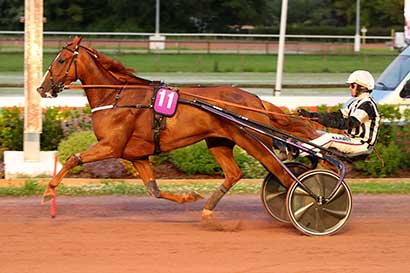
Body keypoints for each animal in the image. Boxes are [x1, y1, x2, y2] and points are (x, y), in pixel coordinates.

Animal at [37, 36, 318, 220]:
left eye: (61, 60)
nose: (42, 88)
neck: (115, 97)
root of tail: (257, 100)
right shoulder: (137, 154)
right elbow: (154, 190)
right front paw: (189, 197)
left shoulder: (111, 146)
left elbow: (73, 159)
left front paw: (48, 192)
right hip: (219, 141)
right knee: (235, 173)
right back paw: (208, 208)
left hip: (253, 141)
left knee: (284, 176)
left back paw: (309, 204)